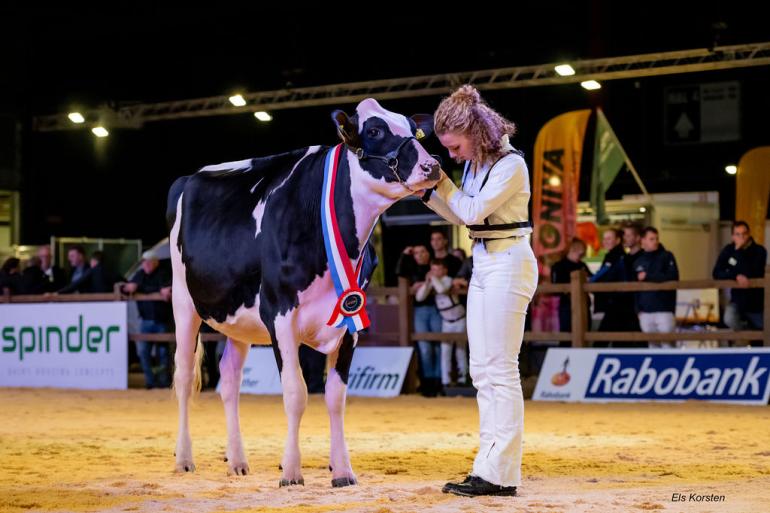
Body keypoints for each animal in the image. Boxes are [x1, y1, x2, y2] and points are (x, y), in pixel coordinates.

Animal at [166, 98, 438, 486]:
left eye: (414, 131)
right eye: (373, 130)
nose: (433, 166)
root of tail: (188, 179)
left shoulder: (350, 321)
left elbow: (335, 396)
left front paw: (342, 470)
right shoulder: (279, 314)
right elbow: (296, 393)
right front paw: (292, 471)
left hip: (239, 320)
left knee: (229, 379)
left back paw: (237, 460)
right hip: (184, 303)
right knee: (186, 376)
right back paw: (185, 458)